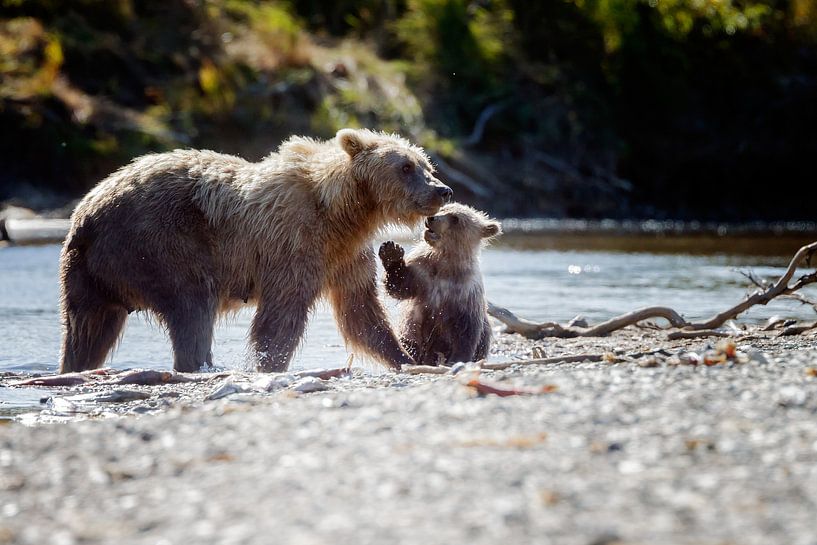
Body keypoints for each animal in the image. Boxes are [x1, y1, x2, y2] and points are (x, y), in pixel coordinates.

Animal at [57, 130, 452, 372]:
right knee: (192, 307)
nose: (443, 189)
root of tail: (86, 213)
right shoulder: (294, 244)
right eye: (405, 166)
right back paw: (198, 363)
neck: (342, 213)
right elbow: (281, 316)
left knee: (88, 329)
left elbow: (362, 314)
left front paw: (405, 357)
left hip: (89, 272)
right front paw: (268, 364)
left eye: (426, 165)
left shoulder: (346, 256)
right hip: (159, 244)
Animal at [380, 202, 500, 364]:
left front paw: (458, 358)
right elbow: (400, 286)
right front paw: (391, 251)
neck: (445, 263)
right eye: (443, 209)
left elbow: (465, 331)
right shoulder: (423, 275)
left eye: (455, 218)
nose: (431, 218)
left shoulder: (464, 291)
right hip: (410, 330)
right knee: (410, 342)